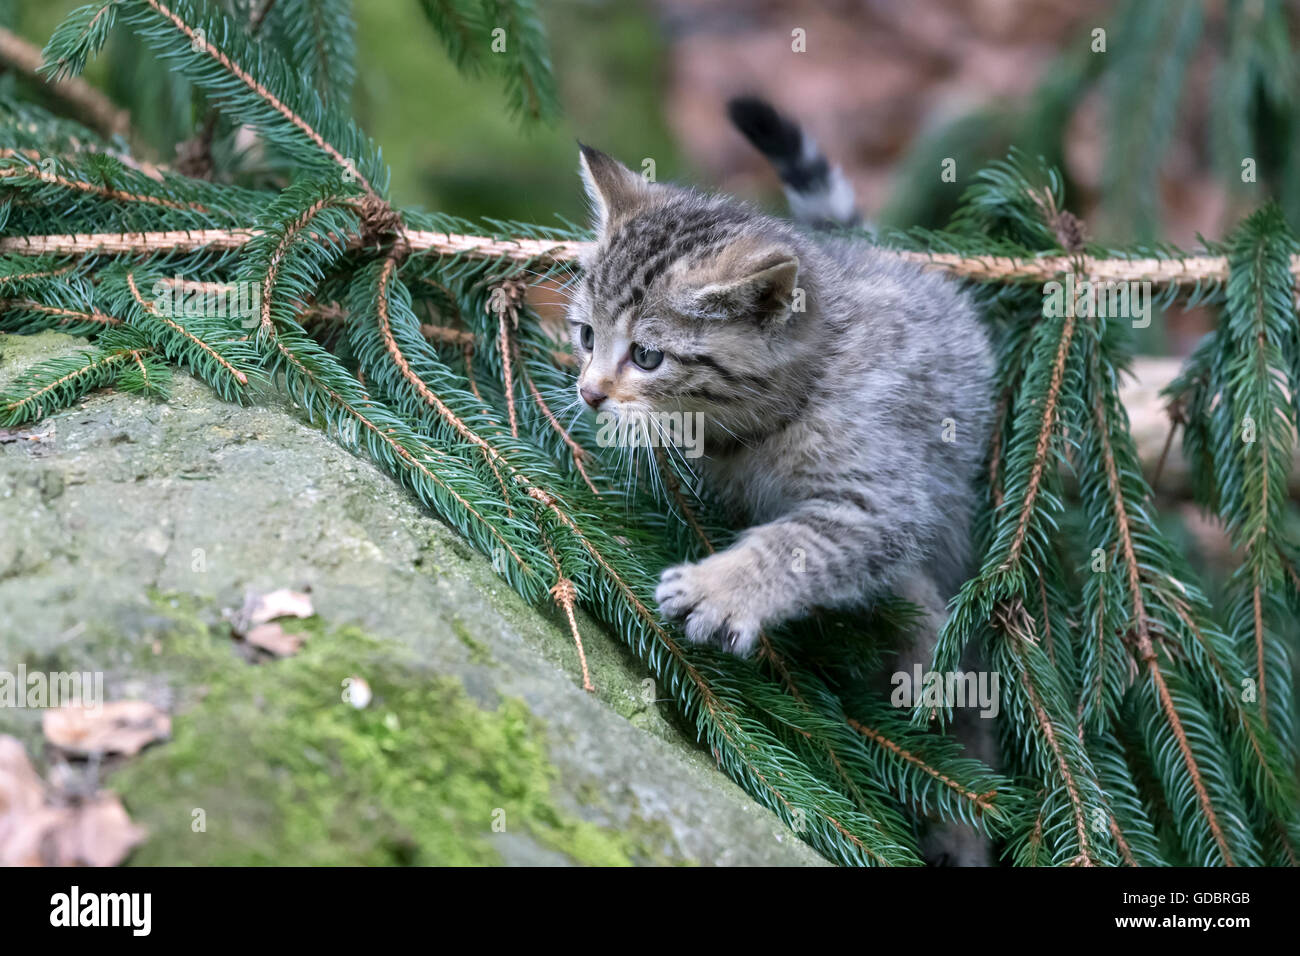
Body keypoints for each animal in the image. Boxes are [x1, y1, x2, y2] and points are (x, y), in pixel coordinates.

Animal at [569, 100, 993, 660]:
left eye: (646, 356)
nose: (589, 393)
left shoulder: (885, 497)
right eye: (587, 336)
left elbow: (801, 543)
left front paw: (719, 589)